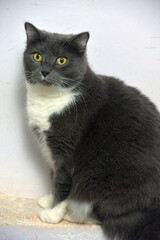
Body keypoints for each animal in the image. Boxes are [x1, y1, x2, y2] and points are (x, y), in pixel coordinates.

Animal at [23, 21, 160, 239]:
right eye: (37, 56)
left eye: (61, 60)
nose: (44, 71)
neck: (48, 99)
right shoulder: (51, 150)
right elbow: (53, 175)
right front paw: (49, 201)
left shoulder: (66, 148)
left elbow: (62, 182)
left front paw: (53, 213)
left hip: (106, 181)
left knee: (107, 216)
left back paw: (73, 214)